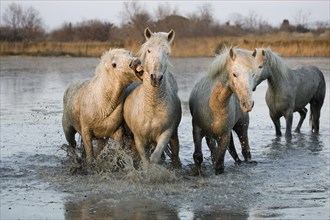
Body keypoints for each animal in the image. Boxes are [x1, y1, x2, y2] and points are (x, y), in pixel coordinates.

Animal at [124, 28, 182, 168]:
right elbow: (145, 160)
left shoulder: (165, 134)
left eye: (167, 53)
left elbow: (154, 158)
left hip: (173, 136)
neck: (152, 106)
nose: (156, 77)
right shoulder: (139, 139)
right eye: (149, 50)